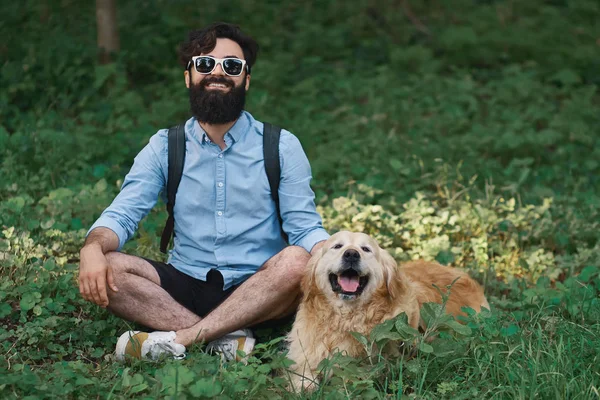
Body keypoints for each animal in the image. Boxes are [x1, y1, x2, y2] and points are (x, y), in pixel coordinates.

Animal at [286, 231, 488, 390]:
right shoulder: (304, 357)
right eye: (337, 246)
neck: (347, 318)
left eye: (366, 249)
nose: (351, 254)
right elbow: (304, 379)